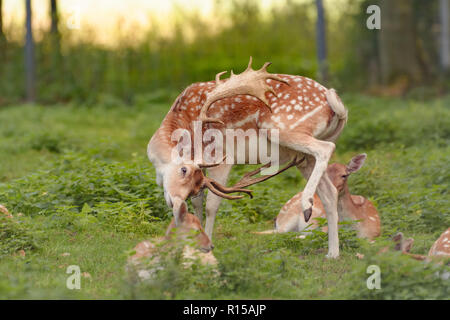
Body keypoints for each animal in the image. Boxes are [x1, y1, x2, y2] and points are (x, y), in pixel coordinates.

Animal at [148, 57, 348, 258]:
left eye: (183, 169)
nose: (176, 204)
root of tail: (335, 104)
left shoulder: (220, 156)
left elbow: (211, 205)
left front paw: (209, 247)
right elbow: (197, 202)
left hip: (282, 128)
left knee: (326, 148)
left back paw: (307, 206)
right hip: (304, 158)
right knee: (330, 193)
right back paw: (332, 253)